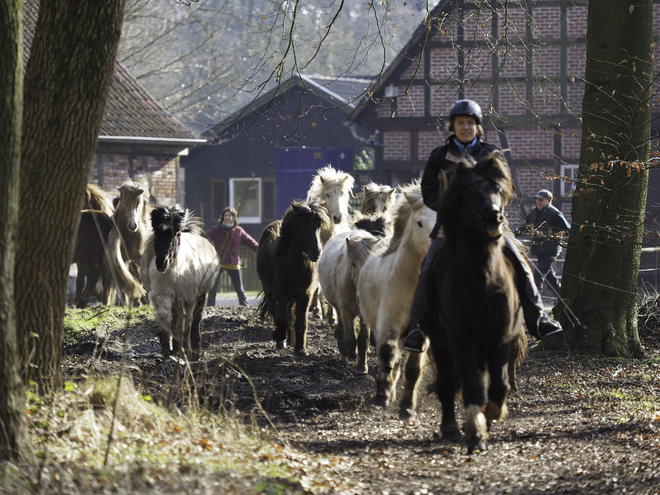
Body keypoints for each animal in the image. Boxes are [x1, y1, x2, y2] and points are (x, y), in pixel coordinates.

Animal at [142, 203, 219, 358]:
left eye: (176, 234)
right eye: (157, 232)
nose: (162, 263)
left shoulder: (188, 298)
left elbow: (185, 322)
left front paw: (185, 350)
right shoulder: (161, 295)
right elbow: (164, 317)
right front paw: (167, 349)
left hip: (199, 296)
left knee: (195, 319)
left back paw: (194, 347)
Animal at [358, 180, 436, 416]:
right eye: (419, 223)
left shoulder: (420, 334)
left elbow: (413, 368)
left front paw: (407, 406)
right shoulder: (388, 324)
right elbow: (387, 353)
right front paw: (383, 395)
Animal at [428, 152, 524, 458]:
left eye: (498, 191)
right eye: (469, 194)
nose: (494, 217)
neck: (483, 281)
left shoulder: (500, 339)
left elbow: (498, 385)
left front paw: (492, 414)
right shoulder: (462, 340)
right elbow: (471, 386)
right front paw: (475, 434)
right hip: (441, 344)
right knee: (447, 384)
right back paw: (450, 427)